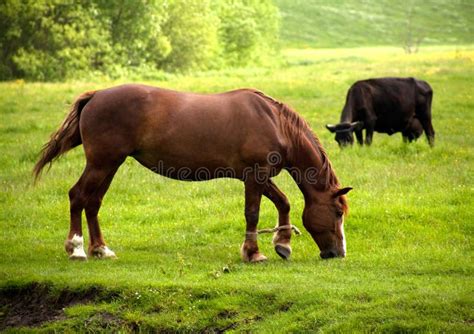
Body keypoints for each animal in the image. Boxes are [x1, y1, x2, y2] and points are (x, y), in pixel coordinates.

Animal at [33, 85, 352, 262]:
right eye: (338, 212)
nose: (338, 254)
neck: (274, 122)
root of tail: (96, 95)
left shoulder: (258, 176)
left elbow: (283, 202)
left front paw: (282, 244)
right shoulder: (255, 176)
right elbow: (253, 213)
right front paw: (254, 253)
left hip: (110, 165)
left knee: (93, 202)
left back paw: (101, 249)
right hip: (101, 163)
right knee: (78, 196)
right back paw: (76, 249)